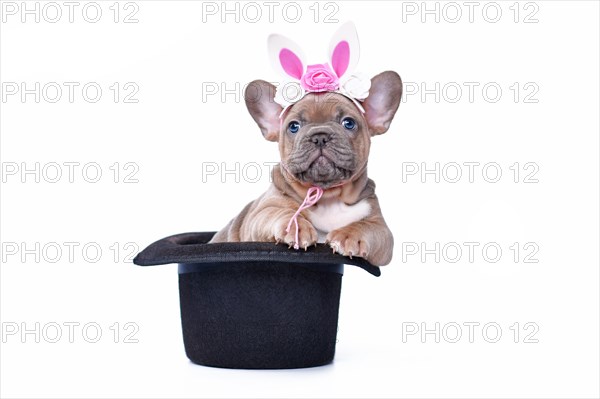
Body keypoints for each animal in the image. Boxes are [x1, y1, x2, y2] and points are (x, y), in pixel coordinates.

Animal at [211, 72, 404, 266]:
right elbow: (278, 212)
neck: (328, 197)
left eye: (348, 123)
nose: (320, 136)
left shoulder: (381, 228)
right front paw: (296, 227)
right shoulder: (260, 213)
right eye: (293, 126)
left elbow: (368, 226)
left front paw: (349, 235)